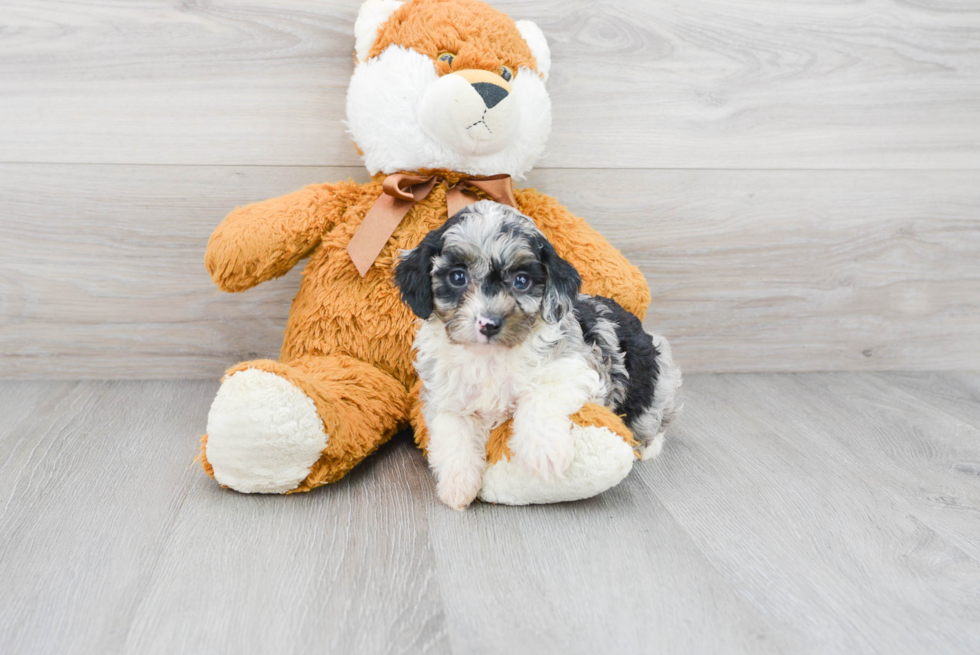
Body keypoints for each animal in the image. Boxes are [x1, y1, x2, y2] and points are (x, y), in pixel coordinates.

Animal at [394, 202, 676, 510]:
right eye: (457, 276)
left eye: (521, 281)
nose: (489, 323)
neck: (490, 356)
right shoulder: (445, 396)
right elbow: (453, 432)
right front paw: (458, 484)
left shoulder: (578, 365)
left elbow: (540, 395)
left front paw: (544, 451)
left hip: (657, 374)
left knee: (655, 416)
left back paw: (648, 446)